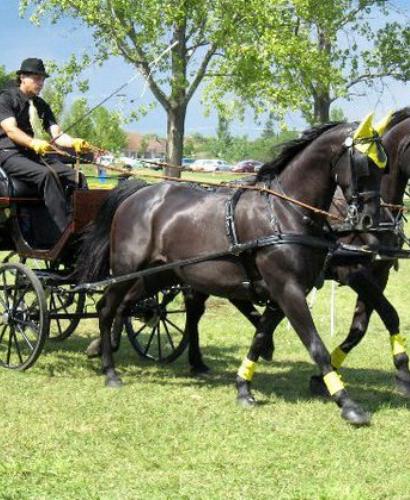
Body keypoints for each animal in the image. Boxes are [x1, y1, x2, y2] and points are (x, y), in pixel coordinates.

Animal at [77, 119, 384, 424]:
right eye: (364, 163)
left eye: (384, 164)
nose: (370, 219)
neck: (285, 212)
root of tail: (138, 192)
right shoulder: (289, 291)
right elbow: (317, 347)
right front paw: (347, 403)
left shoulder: (280, 295)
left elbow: (259, 338)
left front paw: (243, 387)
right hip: (126, 269)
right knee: (106, 308)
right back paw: (110, 371)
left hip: (159, 274)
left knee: (127, 305)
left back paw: (102, 349)